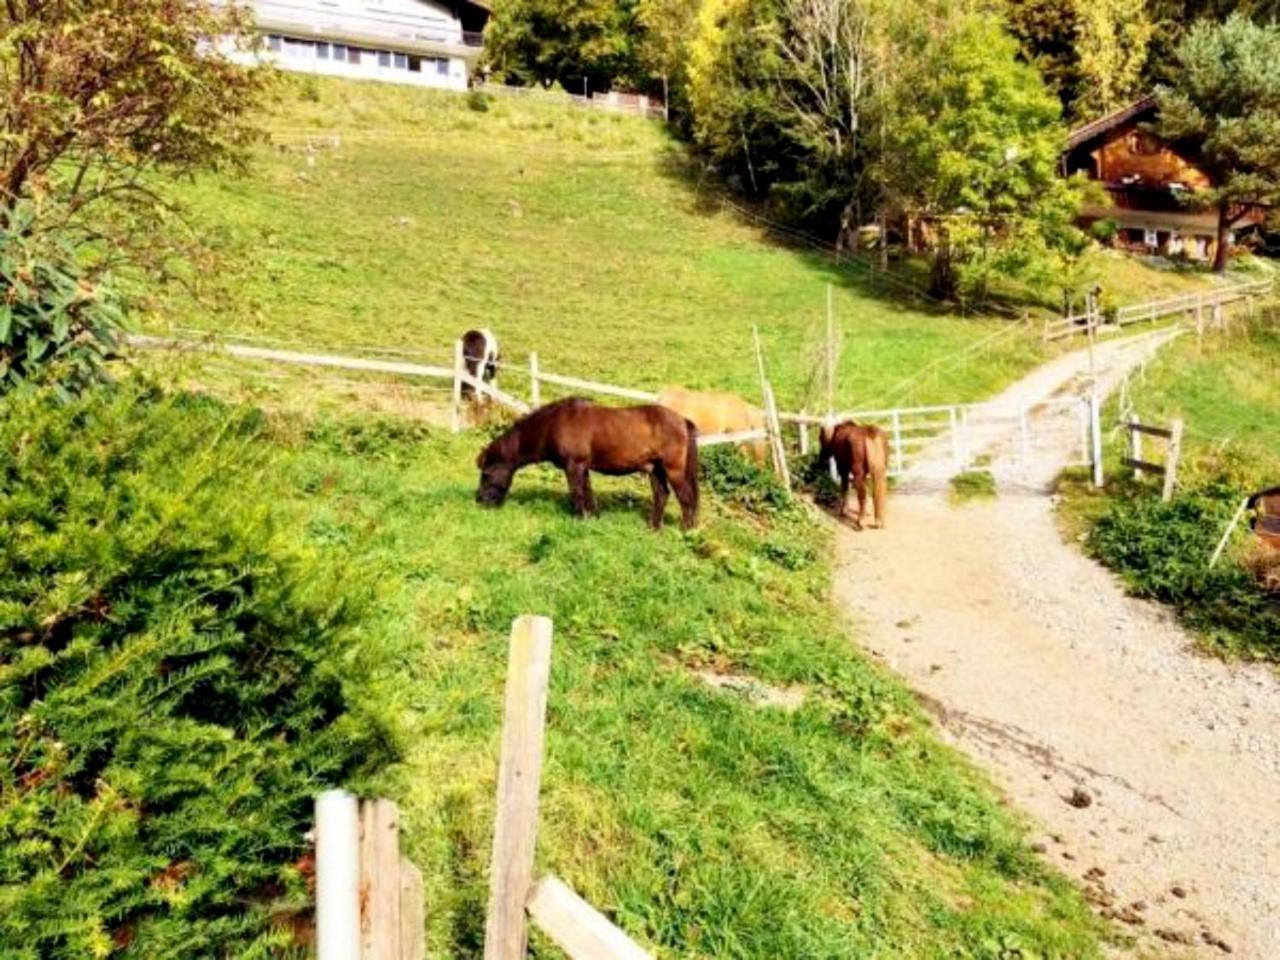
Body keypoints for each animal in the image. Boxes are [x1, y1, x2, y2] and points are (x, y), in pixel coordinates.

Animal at [478, 399, 701, 535]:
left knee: (686, 498)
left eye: (486, 474)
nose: (480, 502)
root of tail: (682, 420)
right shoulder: (583, 467)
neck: (555, 424)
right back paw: (654, 528)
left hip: (672, 469)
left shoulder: (573, 466)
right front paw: (593, 518)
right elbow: (588, 493)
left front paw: (578, 520)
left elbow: (577, 493)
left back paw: (686, 530)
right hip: (655, 469)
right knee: (662, 495)